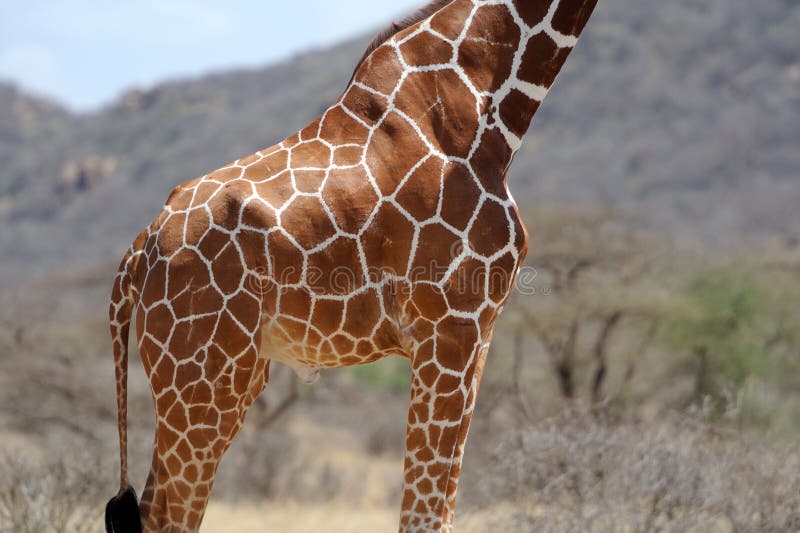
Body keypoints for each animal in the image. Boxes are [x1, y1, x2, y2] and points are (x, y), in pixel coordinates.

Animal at [104, 1, 600, 531]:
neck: (486, 110)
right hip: (201, 378)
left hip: (230, 375)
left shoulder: (479, 332)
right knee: (168, 514)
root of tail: (139, 250)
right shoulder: (451, 324)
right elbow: (425, 514)